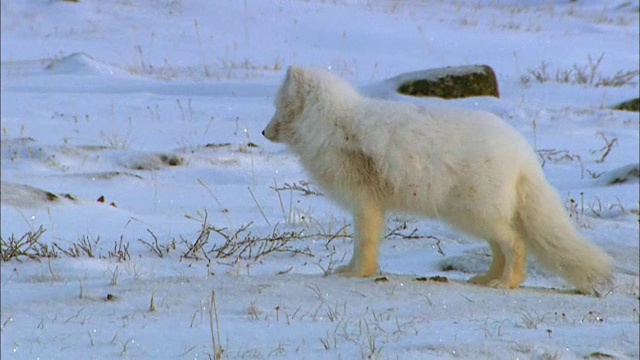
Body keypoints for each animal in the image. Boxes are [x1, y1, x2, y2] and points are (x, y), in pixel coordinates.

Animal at [262, 66, 616, 294]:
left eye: (279, 107)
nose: (264, 132)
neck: (333, 123)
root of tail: (523, 155)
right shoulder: (369, 206)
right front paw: (353, 272)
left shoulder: (365, 205)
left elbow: (364, 244)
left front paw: (355, 274)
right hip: (476, 217)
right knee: (501, 248)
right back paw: (486, 280)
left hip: (476, 215)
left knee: (515, 244)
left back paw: (505, 284)